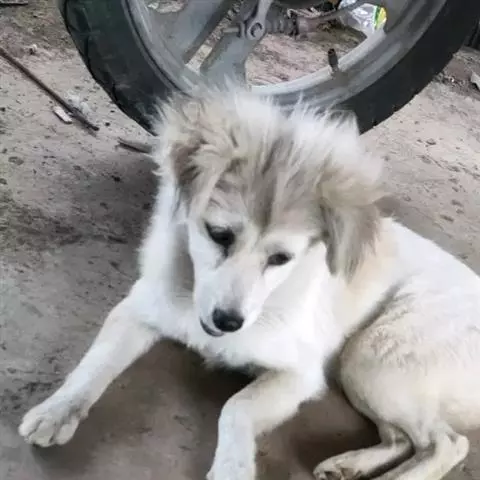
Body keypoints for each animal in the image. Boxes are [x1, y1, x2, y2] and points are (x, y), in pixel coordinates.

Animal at [19, 88, 480, 480]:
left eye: (281, 259)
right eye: (219, 235)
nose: (228, 322)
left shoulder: (299, 377)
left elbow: (236, 407)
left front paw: (233, 466)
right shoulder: (138, 309)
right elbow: (95, 363)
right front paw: (58, 409)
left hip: (371, 360)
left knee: (447, 444)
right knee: (403, 439)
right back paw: (349, 464)